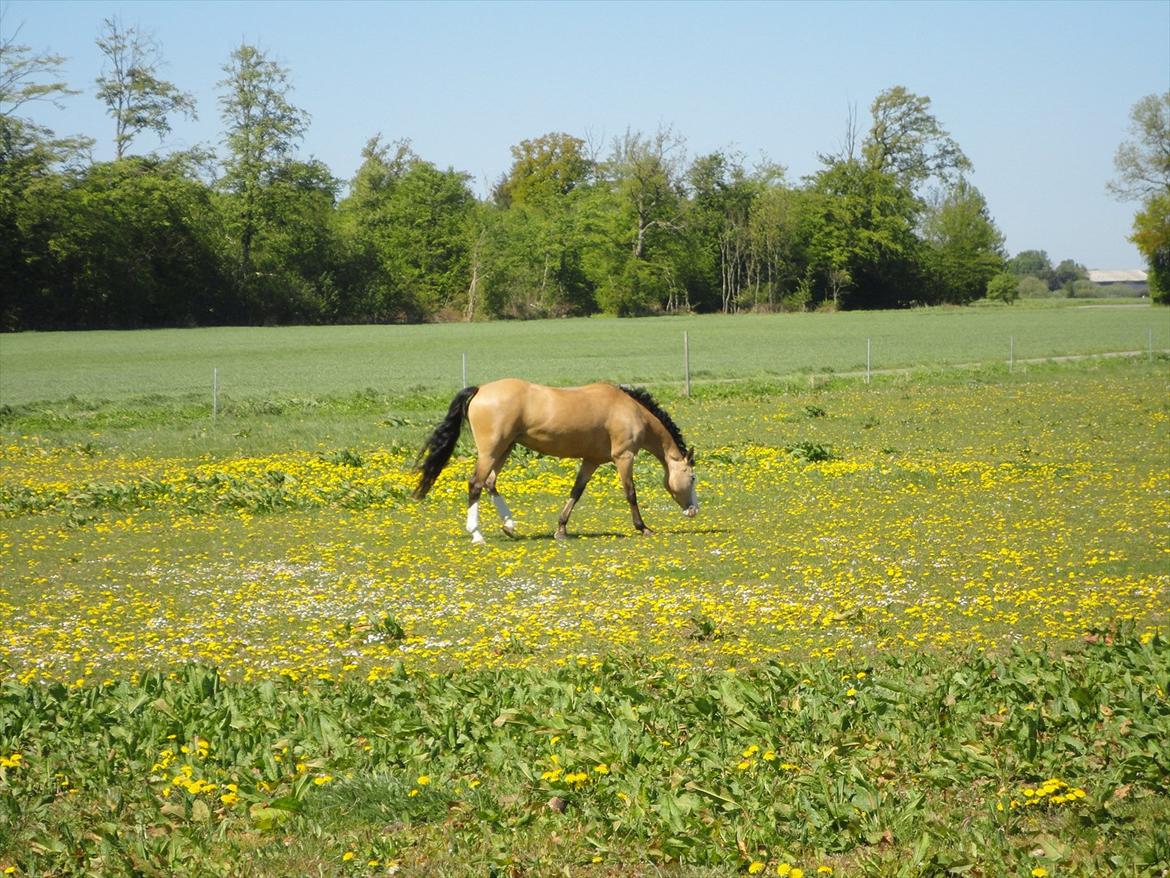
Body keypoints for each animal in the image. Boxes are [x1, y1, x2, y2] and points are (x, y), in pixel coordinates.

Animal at [416, 379, 697, 543]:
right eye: (692, 477)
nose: (694, 510)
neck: (630, 410)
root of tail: (480, 390)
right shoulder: (624, 457)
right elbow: (631, 493)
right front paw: (643, 527)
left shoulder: (591, 460)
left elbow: (576, 492)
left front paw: (561, 529)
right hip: (491, 451)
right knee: (475, 483)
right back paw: (477, 533)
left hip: (504, 449)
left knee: (489, 483)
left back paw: (509, 525)